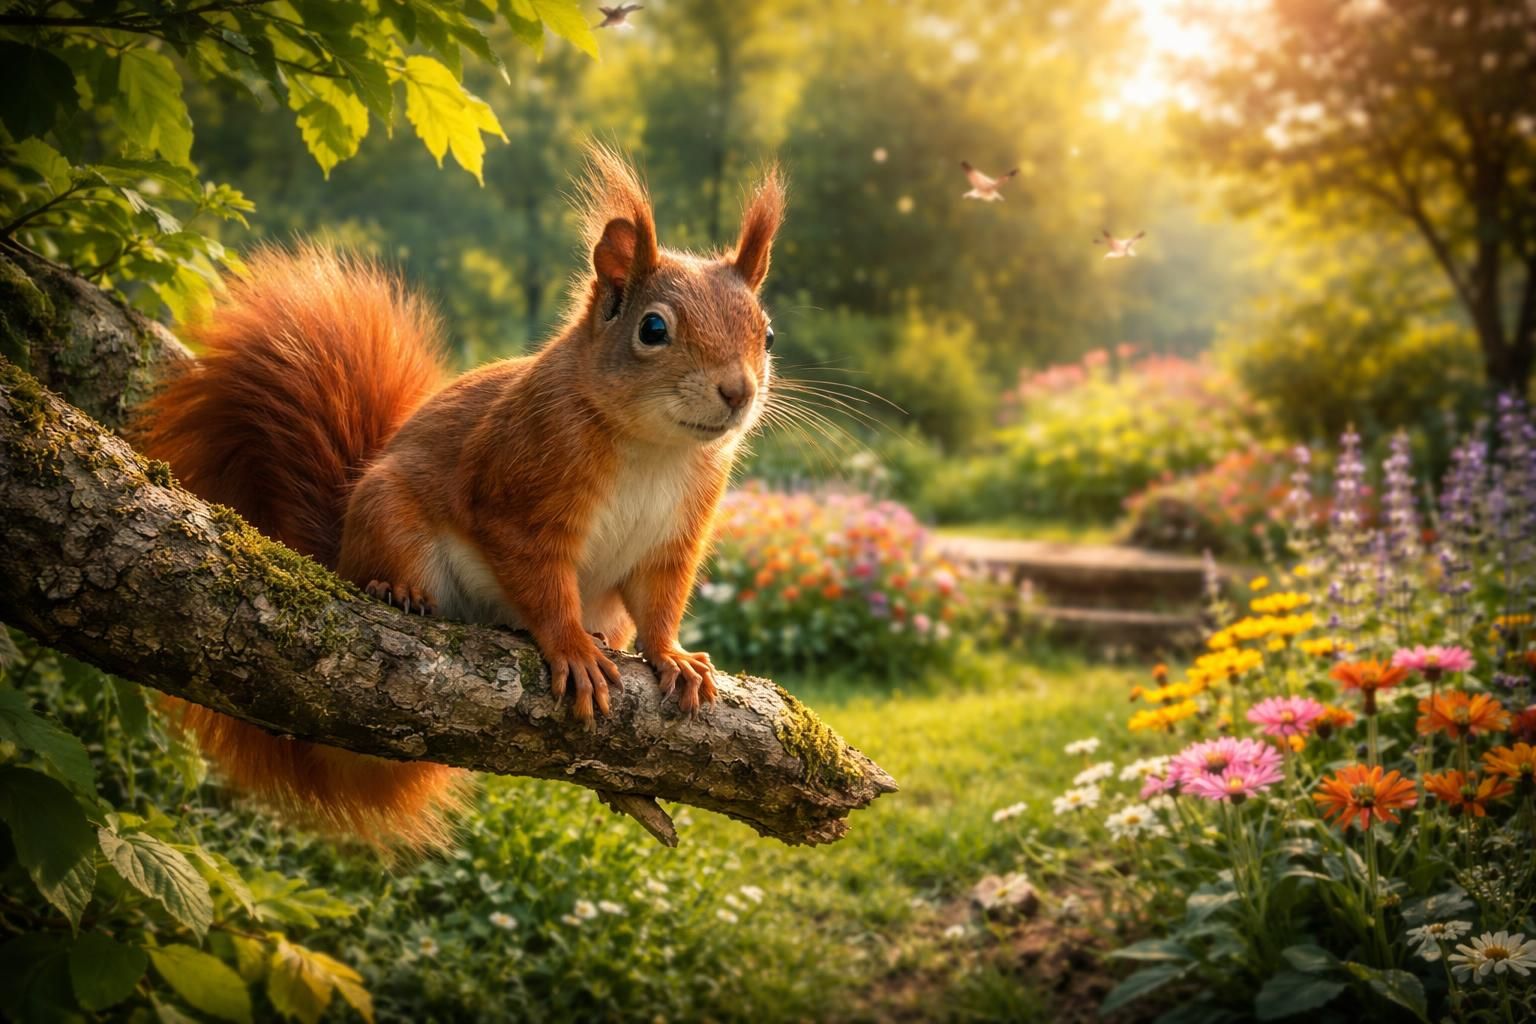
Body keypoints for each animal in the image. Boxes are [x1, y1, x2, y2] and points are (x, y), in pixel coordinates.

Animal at [136, 146, 784, 848]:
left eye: (768, 335)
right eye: (654, 328)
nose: (738, 392)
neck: (654, 449)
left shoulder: (675, 536)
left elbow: (661, 601)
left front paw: (673, 657)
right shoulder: (520, 497)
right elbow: (540, 582)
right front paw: (571, 648)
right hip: (389, 516)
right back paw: (397, 590)